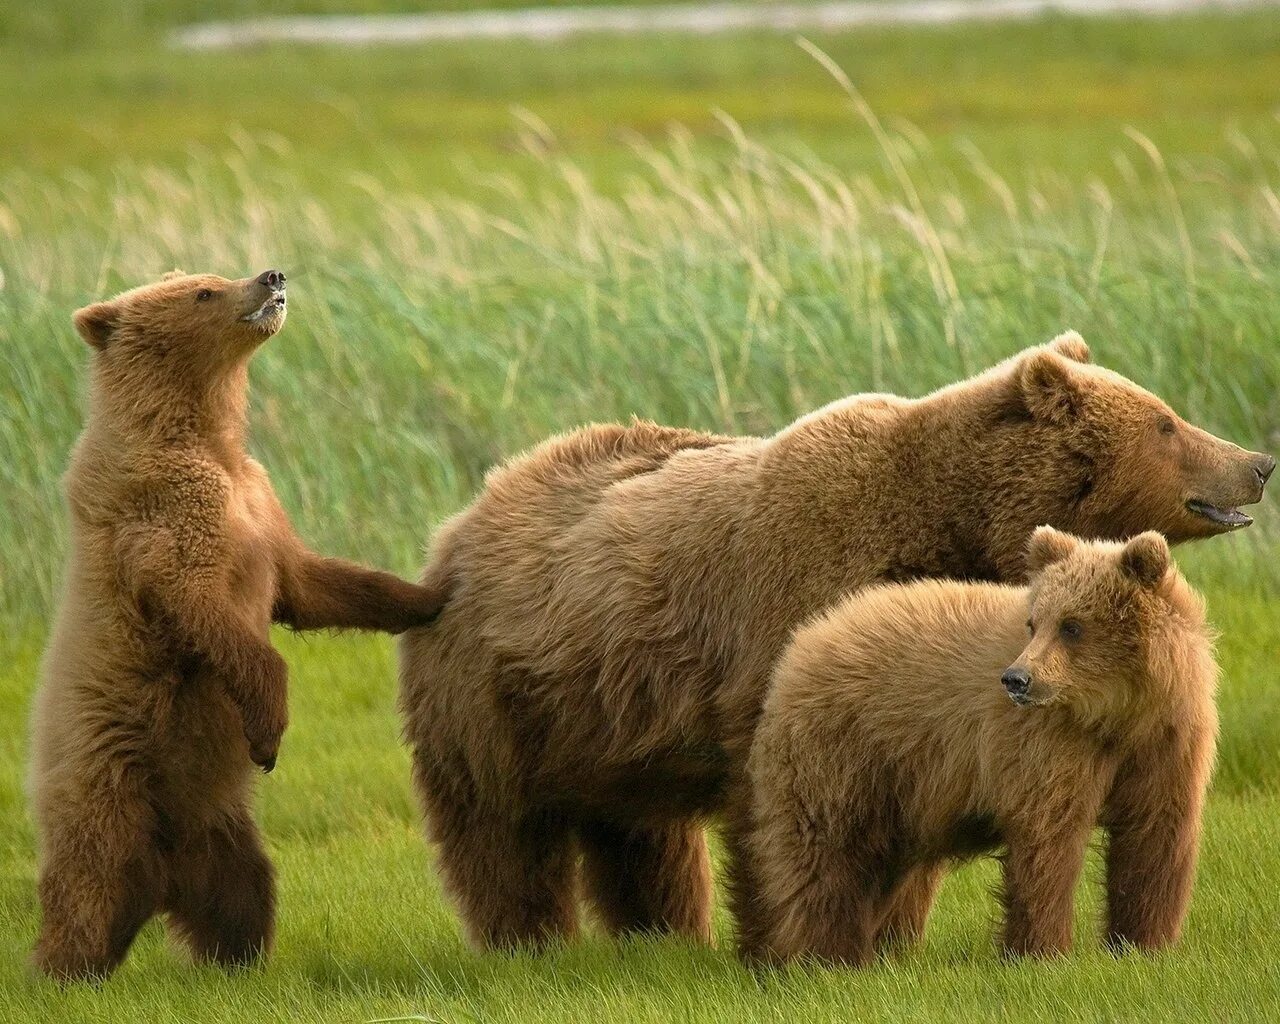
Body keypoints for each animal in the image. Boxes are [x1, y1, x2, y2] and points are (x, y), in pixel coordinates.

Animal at [396, 332, 1269, 952]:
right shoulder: (792, 609)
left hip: (610, 721)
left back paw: (662, 932)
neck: (948, 523)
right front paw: (788, 940)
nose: (1258, 461)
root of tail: (460, 524)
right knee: (501, 830)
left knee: (639, 831)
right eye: (1165, 422)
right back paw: (526, 941)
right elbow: (782, 794)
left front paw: (892, 932)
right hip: (495, 698)